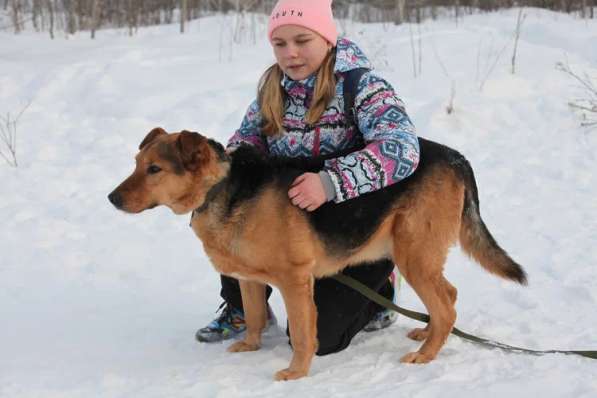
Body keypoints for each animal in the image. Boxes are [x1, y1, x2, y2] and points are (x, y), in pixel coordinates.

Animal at [107, 127, 528, 380]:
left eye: (155, 169)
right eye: (136, 164)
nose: (111, 198)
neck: (219, 187)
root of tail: (457, 158)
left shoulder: (295, 281)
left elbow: (303, 333)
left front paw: (295, 373)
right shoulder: (249, 279)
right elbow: (255, 316)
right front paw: (250, 346)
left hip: (414, 256)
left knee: (446, 303)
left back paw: (425, 355)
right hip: (414, 255)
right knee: (447, 300)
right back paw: (426, 333)